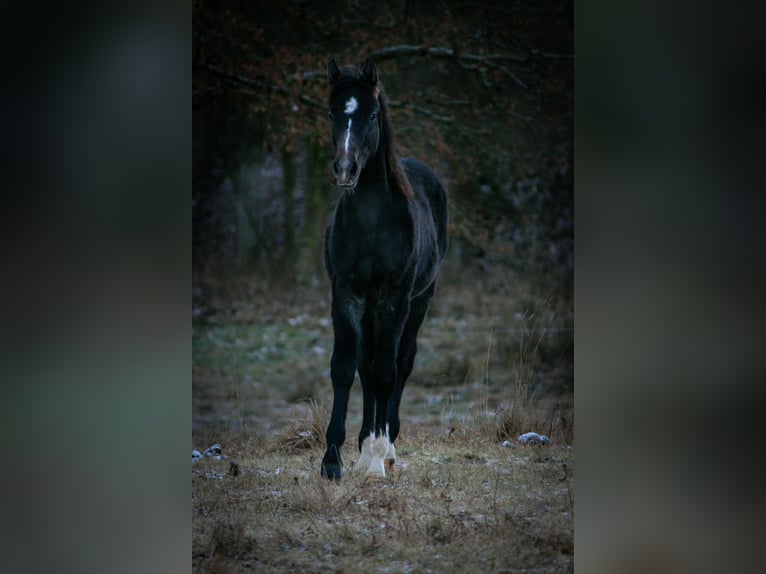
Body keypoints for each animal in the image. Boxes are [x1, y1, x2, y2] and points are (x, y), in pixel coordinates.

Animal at [320, 58, 449, 480]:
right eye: (332, 113)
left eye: (372, 114)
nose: (345, 169)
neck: (373, 223)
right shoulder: (346, 294)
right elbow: (346, 368)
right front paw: (333, 460)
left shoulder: (394, 298)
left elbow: (386, 372)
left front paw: (377, 458)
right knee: (366, 365)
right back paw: (363, 446)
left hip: (419, 301)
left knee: (400, 364)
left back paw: (386, 445)